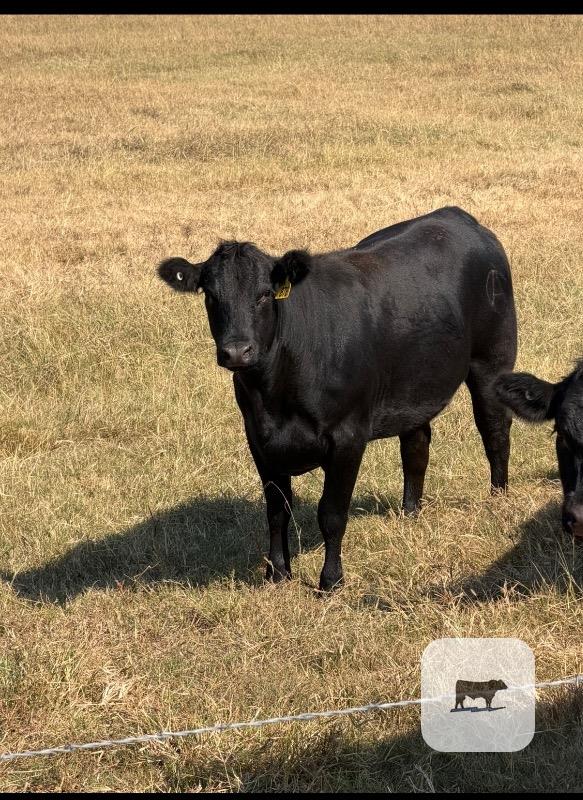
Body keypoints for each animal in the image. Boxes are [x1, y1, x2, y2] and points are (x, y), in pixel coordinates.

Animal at [157, 205, 517, 592]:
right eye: (211, 296)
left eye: (265, 294)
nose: (237, 351)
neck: (276, 394)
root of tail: (457, 216)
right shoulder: (258, 438)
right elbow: (276, 510)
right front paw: (277, 573)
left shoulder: (347, 437)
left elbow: (331, 513)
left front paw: (330, 580)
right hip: (416, 383)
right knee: (416, 444)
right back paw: (410, 512)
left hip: (492, 361)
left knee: (494, 430)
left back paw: (498, 500)